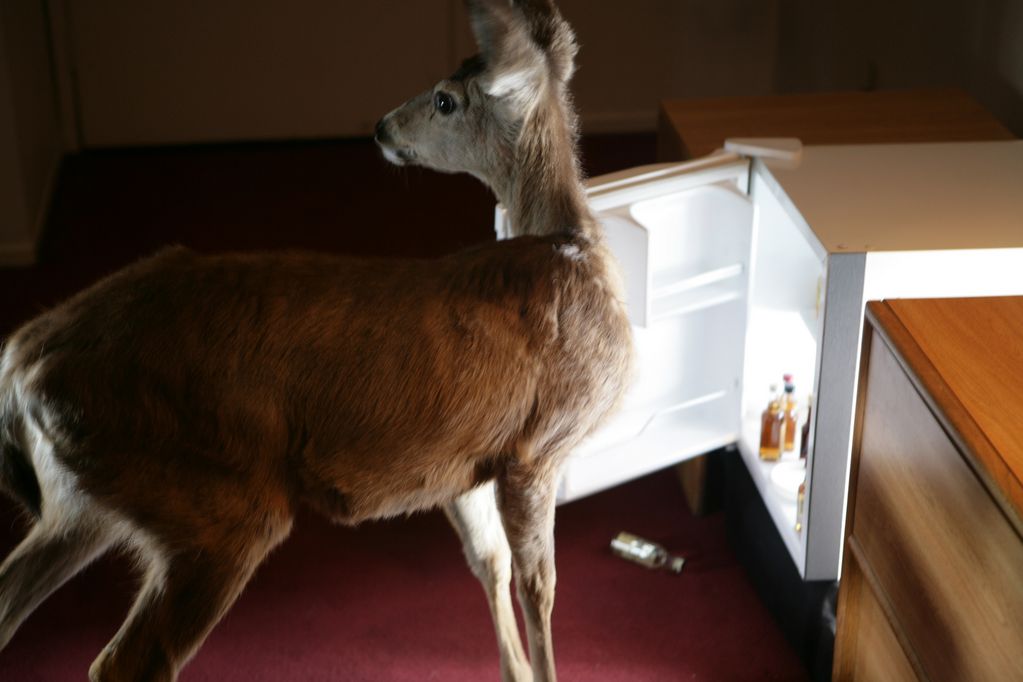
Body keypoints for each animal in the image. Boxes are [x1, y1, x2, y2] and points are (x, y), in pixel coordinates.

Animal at [0, 0, 630, 678]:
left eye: (444, 99)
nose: (381, 127)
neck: (571, 245)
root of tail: (20, 365)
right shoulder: (537, 448)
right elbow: (540, 587)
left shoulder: (469, 463)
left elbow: (492, 563)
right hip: (215, 501)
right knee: (126, 660)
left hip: (84, 501)